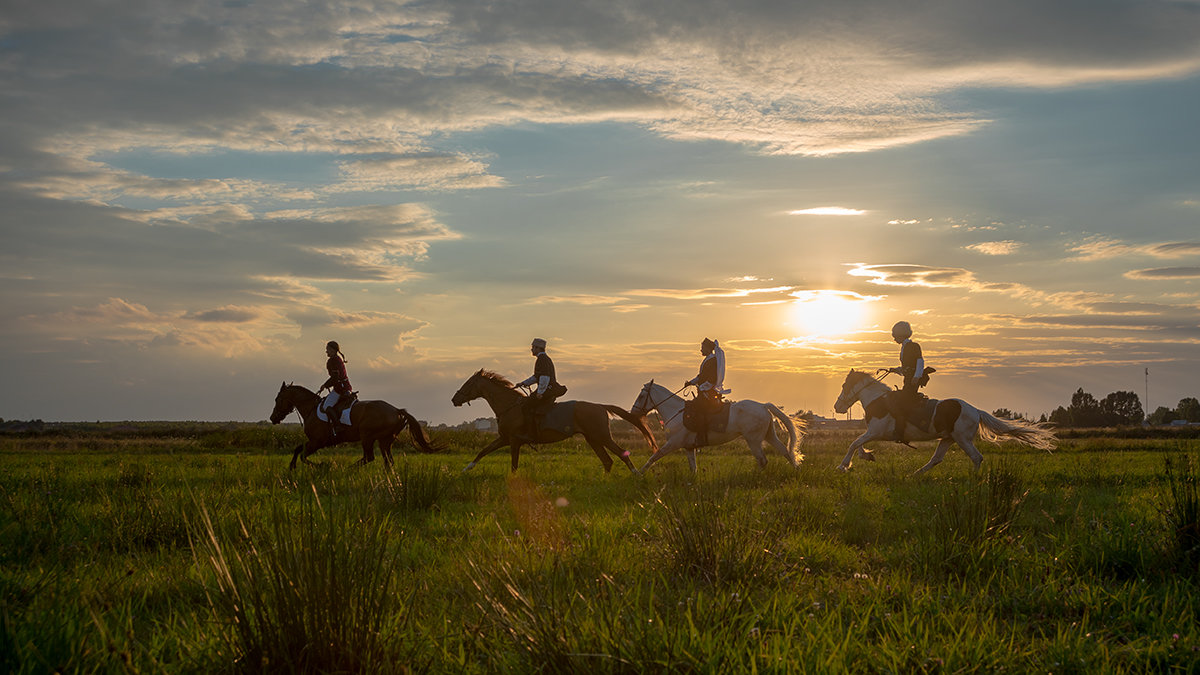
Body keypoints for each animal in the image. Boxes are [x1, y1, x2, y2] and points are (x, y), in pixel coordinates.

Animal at [270, 379, 444, 468]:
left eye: (277, 399)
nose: (272, 418)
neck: (310, 408)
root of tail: (396, 410)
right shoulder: (314, 441)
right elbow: (298, 450)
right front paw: (291, 467)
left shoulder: (317, 441)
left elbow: (303, 455)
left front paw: (323, 466)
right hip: (385, 441)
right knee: (387, 461)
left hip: (367, 436)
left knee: (369, 458)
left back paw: (347, 469)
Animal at [451, 367, 662, 473]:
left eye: (468, 383)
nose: (454, 399)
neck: (509, 406)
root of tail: (601, 406)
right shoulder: (504, 439)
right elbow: (483, 451)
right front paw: (466, 469)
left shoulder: (513, 441)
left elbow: (513, 465)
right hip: (592, 439)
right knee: (608, 461)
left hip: (602, 437)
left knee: (621, 455)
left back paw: (636, 474)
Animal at [628, 379, 806, 473]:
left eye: (642, 396)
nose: (632, 413)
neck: (675, 412)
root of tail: (763, 406)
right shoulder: (688, 447)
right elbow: (693, 468)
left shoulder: (673, 443)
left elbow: (654, 456)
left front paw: (637, 473)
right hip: (769, 435)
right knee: (785, 451)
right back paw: (796, 470)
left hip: (753, 440)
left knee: (762, 460)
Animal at [830, 367, 1056, 473]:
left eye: (843, 385)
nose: (837, 407)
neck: (878, 401)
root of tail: (976, 410)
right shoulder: (873, 433)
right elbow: (858, 444)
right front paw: (867, 456)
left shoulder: (876, 432)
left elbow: (854, 443)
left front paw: (843, 465)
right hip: (948, 439)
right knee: (936, 459)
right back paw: (915, 475)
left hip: (962, 439)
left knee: (976, 457)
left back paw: (973, 480)